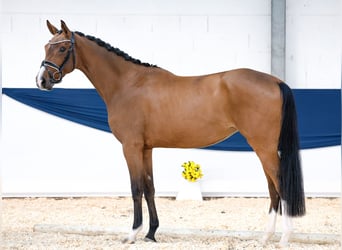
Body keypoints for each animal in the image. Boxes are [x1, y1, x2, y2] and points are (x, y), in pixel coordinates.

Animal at [36, 20, 304, 246]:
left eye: (62, 48)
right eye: (46, 47)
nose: (41, 80)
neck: (128, 84)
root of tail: (276, 81)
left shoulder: (131, 147)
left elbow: (135, 189)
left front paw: (132, 234)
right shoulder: (146, 148)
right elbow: (149, 188)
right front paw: (151, 233)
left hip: (264, 147)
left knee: (280, 185)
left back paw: (284, 239)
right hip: (263, 149)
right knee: (272, 189)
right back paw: (265, 238)